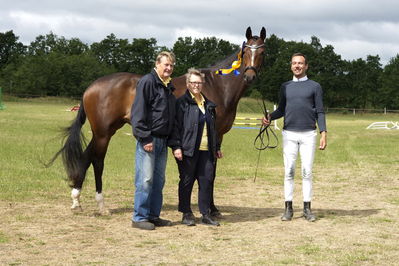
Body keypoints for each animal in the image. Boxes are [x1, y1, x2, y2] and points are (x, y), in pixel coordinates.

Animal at [51, 26, 268, 214]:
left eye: (263, 51)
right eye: (246, 51)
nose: (249, 76)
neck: (218, 87)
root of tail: (91, 87)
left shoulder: (217, 136)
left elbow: (211, 173)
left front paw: (212, 208)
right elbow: (207, 173)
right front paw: (209, 209)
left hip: (103, 132)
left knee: (86, 156)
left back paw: (76, 200)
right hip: (103, 133)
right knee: (97, 160)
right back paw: (101, 204)